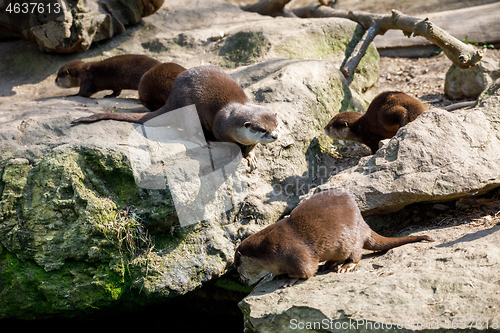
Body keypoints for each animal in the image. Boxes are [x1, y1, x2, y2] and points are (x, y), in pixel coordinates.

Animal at [71, 65, 282, 169]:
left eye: (276, 125)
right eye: (262, 130)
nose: (275, 136)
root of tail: (171, 97)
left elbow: (251, 147)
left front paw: (251, 156)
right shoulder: (221, 127)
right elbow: (228, 143)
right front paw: (235, 152)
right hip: (187, 105)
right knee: (189, 130)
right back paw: (203, 141)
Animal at [234, 188, 434, 286]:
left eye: (237, 266)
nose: (239, 277)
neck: (268, 251)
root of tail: (364, 224)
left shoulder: (293, 252)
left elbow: (306, 271)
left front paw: (288, 280)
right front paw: (277, 276)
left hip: (353, 239)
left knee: (356, 255)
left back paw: (345, 266)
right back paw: (329, 264)